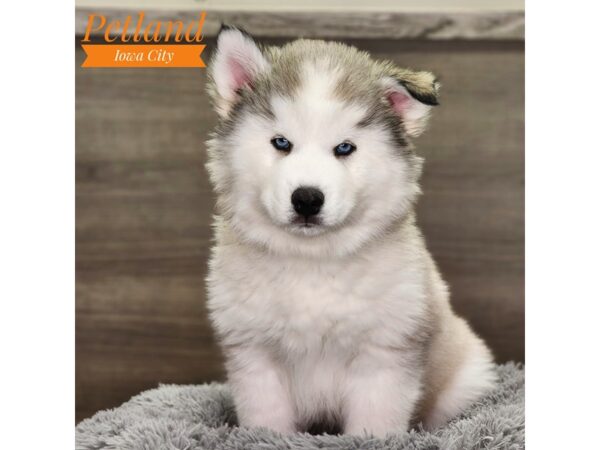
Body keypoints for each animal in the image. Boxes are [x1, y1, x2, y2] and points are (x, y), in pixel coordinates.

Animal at [204, 25, 494, 436]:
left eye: (345, 148)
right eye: (281, 142)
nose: (307, 199)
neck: (312, 261)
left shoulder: (384, 354)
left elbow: (374, 423)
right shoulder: (254, 353)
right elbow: (267, 419)